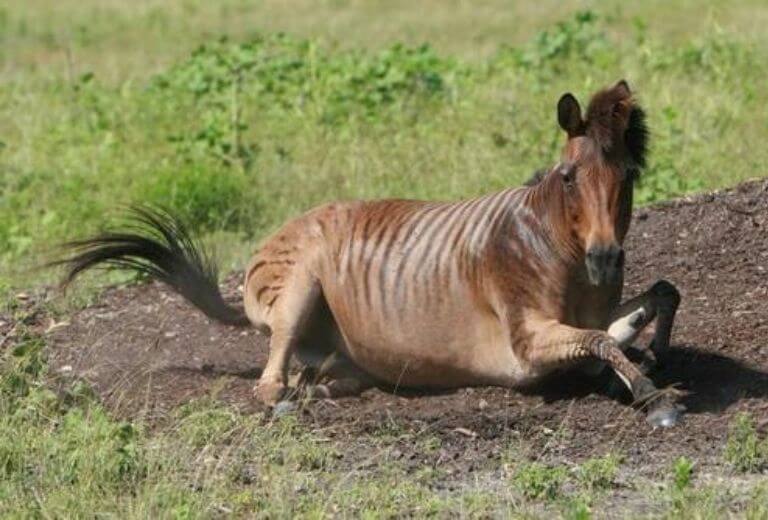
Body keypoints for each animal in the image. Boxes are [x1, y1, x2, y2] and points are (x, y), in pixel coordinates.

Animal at [56, 80, 682, 427]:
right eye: (570, 177)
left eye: (629, 175)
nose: (605, 259)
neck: (553, 245)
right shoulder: (526, 342)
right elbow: (602, 339)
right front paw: (652, 394)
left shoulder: (589, 311)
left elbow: (656, 297)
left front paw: (649, 357)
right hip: (299, 286)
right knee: (269, 385)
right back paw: (293, 401)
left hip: (342, 346)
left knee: (318, 375)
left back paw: (324, 389)